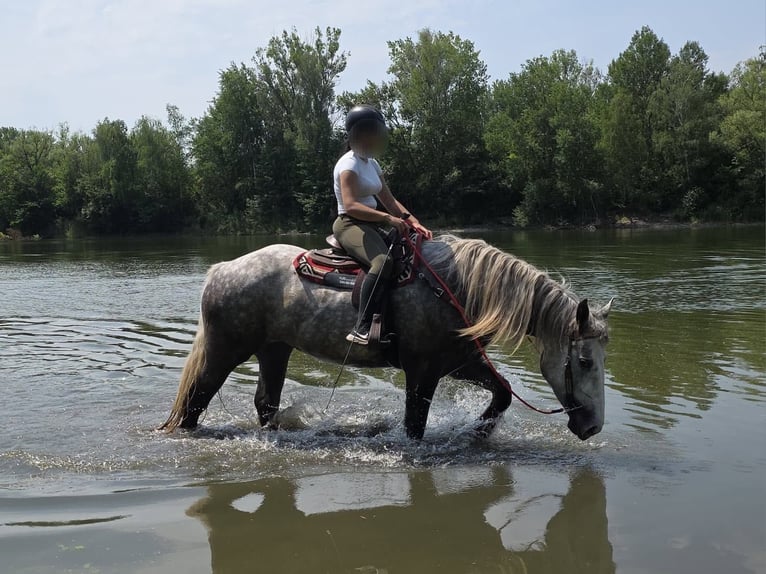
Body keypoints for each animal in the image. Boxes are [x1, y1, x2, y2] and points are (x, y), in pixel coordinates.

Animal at [160, 235, 613, 440]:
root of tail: (221, 269)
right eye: (584, 361)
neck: (458, 288)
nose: (593, 426)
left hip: (275, 350)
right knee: (195, 400)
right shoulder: (423, 372)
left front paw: (479, 433)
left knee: (265, 402)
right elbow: (414, 426)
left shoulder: (459, 363)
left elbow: (501, 393)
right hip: (225, 350)